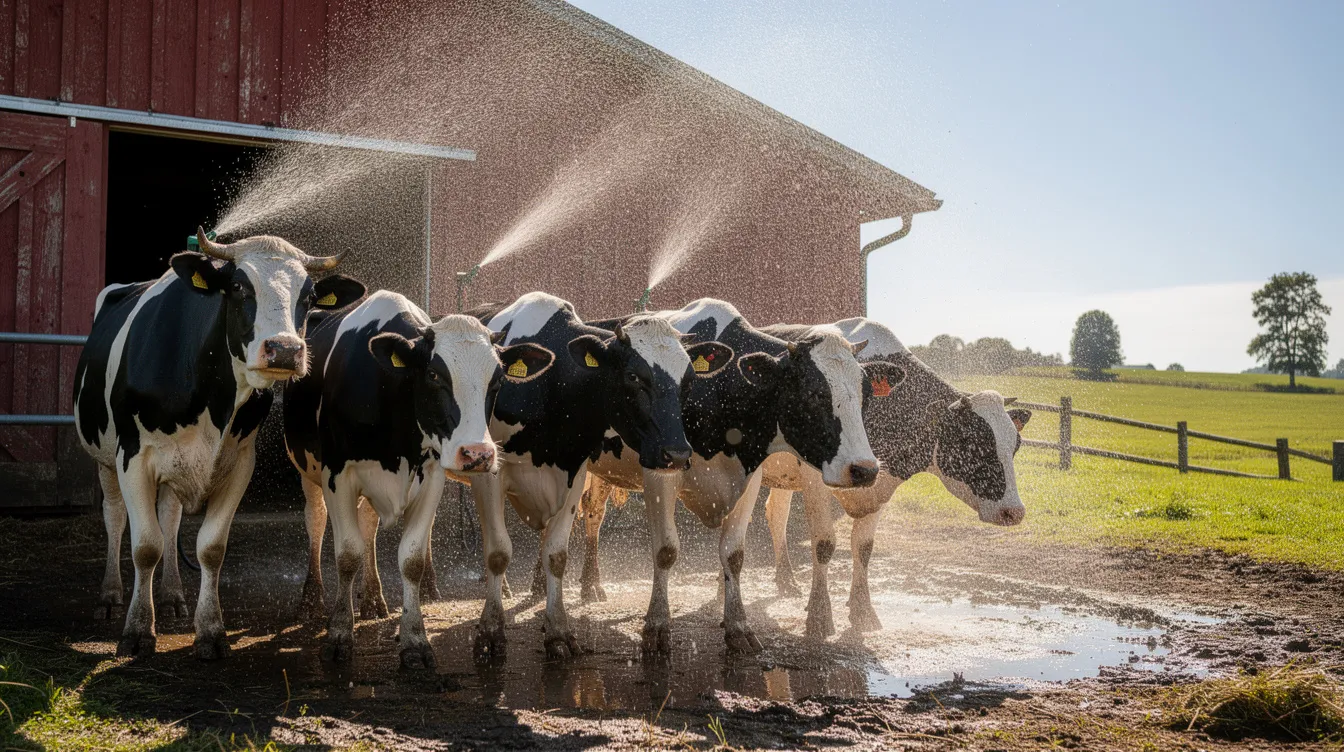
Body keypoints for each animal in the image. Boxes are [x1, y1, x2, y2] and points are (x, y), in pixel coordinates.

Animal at [74, 229, 361, 659]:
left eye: (309, 296)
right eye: (239, 287)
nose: (286, 350)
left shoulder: (239, 461)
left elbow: (209, 547)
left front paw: (210, 630)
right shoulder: (133, 457)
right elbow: (145, 547)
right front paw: (138, 631)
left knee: (170, 517)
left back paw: (173, 594)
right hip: (105, 459)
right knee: (115, 517)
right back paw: (110, 595)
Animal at [282, 290, 555, 667]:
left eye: (498, 381)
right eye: (435, 375)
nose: (478, 453)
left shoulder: (432, 477)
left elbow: (410, 559)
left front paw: (415, 640)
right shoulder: (337, 475)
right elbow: (347, 555)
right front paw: (338, 635)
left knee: (368, 524)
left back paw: (373, 599)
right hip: (308, 471)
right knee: (316, 521)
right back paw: (311, 598)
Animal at [464, 292, 732, 660]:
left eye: (689, 380)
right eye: (633, 376)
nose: (677, 452)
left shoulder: (574, 471)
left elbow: (557, 554)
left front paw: (558, 631)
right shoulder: (489, 474)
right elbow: (497, 552)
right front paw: (490, 631)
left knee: (587, 519)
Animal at [583, 299, 905, 654]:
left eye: (866, 395)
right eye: (813, 394)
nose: (865, 469)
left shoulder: (749, 476)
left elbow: (733, 554)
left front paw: (737, 626)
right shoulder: (660, 472)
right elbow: (665, 550)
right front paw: (656, 627)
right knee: (583, 515)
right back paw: (573, 587)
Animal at [757, 318, 1030, 638]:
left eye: (1016, 445)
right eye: (970, 442)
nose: (1014, 511)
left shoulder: (879, 483)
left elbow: (863, 548)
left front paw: (863, 613)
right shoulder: (815, 480)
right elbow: (824, 544)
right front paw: (820, 617)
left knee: (776, 514)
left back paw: (786, 581)